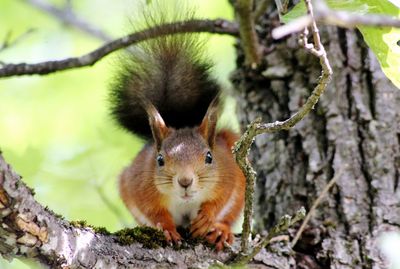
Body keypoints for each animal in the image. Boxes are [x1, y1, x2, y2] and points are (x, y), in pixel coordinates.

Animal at [110, 11, 247, 249]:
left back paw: (221, 231)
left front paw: (207, 218)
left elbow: (219, 200)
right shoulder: (140, 186)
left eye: (209, 157)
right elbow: (154, 212)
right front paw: (167, 229)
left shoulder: (228, 172)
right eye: (159, 160)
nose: (185, 182)